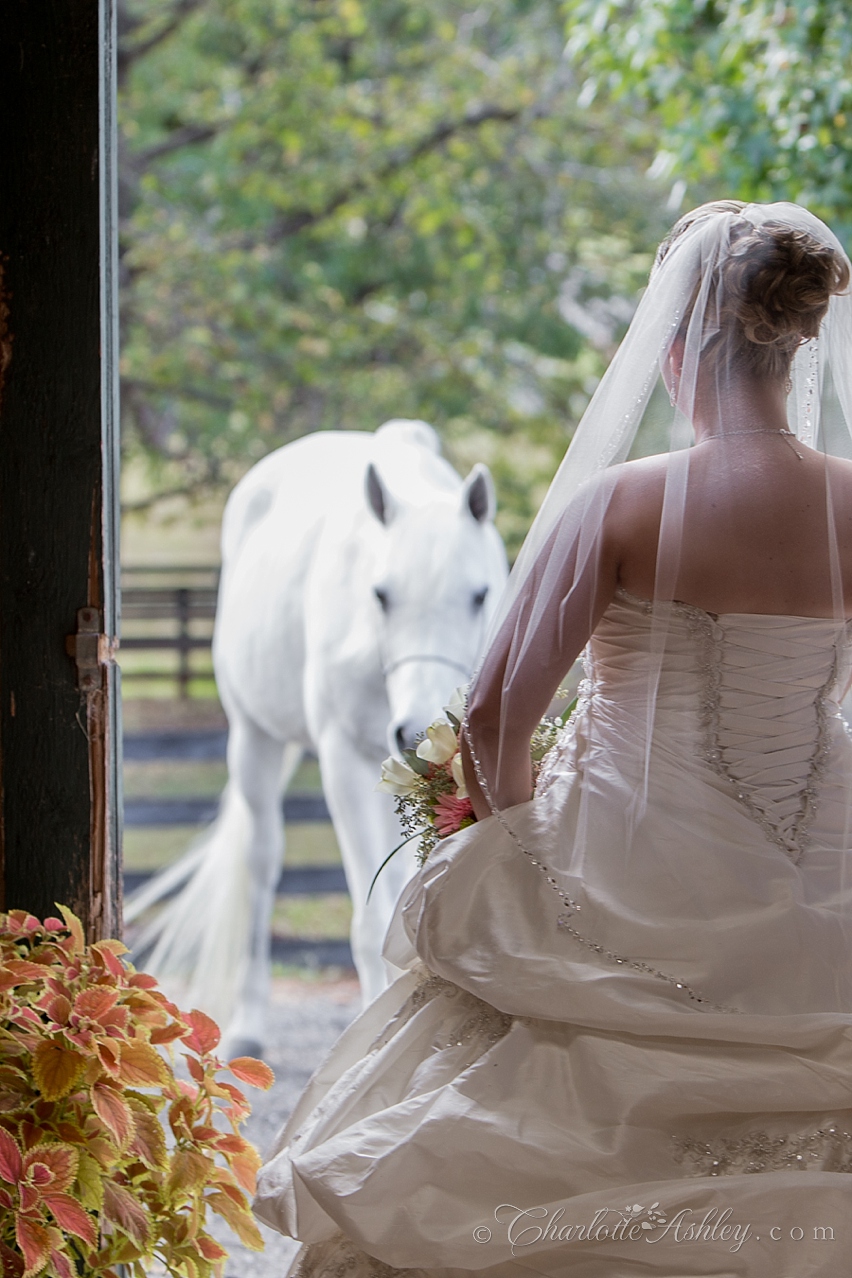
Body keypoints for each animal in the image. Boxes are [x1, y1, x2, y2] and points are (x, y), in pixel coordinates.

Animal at [126, 419, 505, 1047]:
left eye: (480, 595)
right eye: (381, 595)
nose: (418, 728)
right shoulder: (342, 761)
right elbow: (369, 918)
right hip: (253, 741)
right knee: (260, 868)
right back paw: (249, 1025)